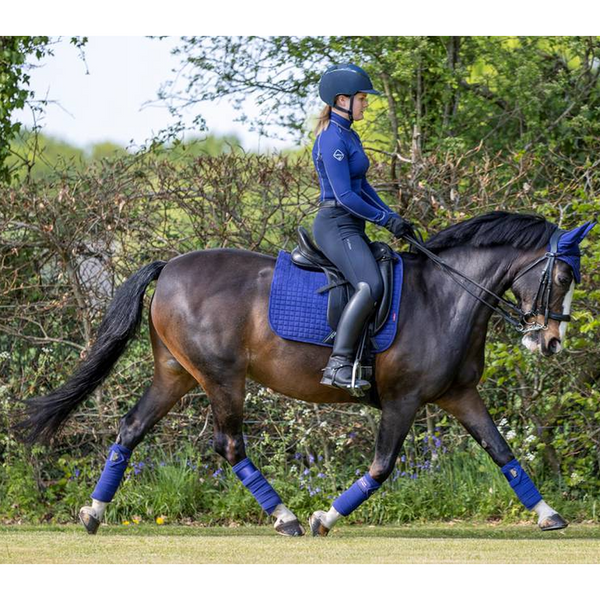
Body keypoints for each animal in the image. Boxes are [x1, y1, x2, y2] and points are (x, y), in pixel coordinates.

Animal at [16, 212, 592, 540]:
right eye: (563, 275)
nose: (551, 343)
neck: (447, 296)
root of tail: (169, 267)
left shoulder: (460, 395)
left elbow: (503, 452)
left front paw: (548, 515)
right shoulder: (403, 400)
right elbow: (381, 468)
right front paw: (324, 519)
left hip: (175, 374)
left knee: (131, 429)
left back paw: (93, 513)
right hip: (221, 378)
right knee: (231, 446)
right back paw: (287, 518)